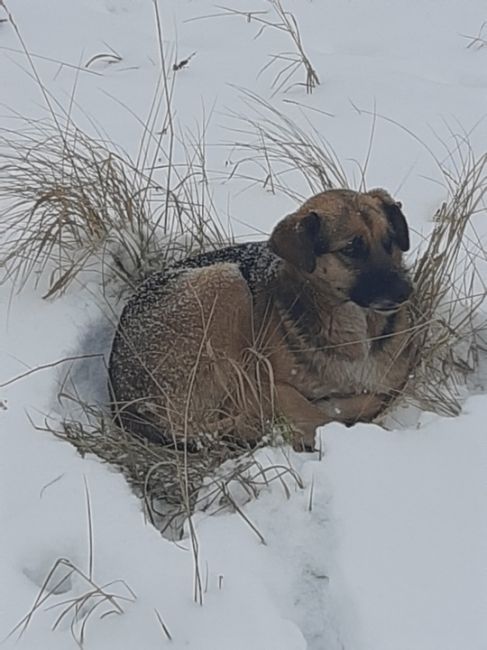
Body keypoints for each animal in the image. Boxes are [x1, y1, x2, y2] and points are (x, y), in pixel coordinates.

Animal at [107, 189, 416, 450]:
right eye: (351, 249)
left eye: (389, 242)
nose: (406, 290)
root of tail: (123, 404)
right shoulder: (263, 384)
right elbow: (317, 414)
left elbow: (370, 398)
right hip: (225, 282)